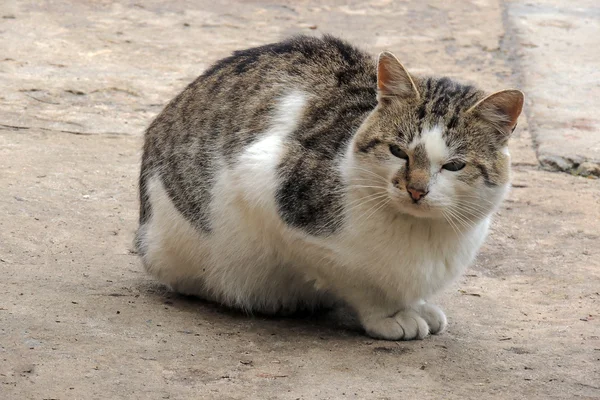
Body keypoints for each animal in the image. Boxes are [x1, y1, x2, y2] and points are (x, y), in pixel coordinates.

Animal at [135, 35, 520, 340]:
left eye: (454, 166)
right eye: (398, 151)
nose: (416, 190)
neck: (420, 232)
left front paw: (417, 305)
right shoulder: (262, 183)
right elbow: (356, 279)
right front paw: (390, 315)